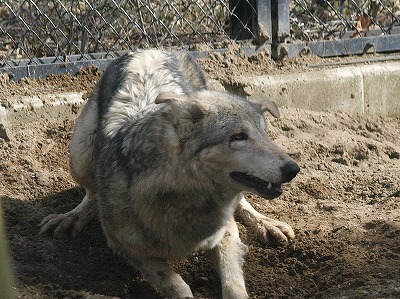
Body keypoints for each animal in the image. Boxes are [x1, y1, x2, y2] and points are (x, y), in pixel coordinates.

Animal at [39, 49, 300, 299]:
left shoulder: (226, 232)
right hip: (79, 152)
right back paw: (71, 217)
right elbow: (176, 284)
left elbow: (233, 284)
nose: (293, 169)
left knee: (243, 202)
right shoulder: (125, 247)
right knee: (91, 194)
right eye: (238, 137)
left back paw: (267, 224)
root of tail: (150, 48)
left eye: (264, 134)